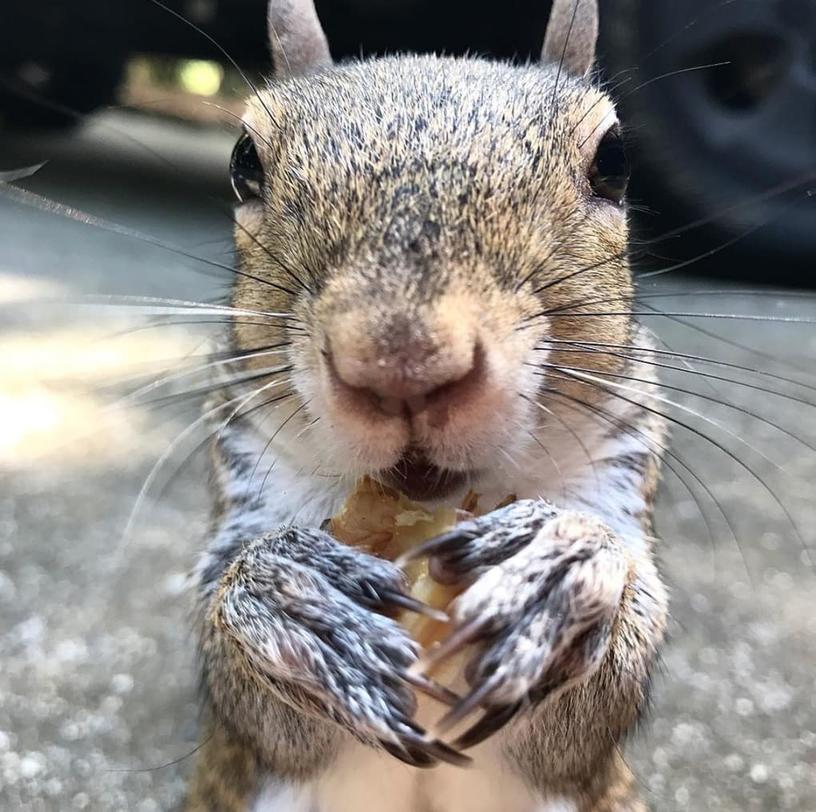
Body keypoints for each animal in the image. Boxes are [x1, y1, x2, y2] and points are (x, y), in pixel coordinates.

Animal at [185, 1, 668, 812]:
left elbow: (597, 705)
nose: (399, 363)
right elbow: (245, 692)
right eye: (244, 162)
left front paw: (564, 562)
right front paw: (288, 595)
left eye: (614, 160)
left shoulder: (616, 466)